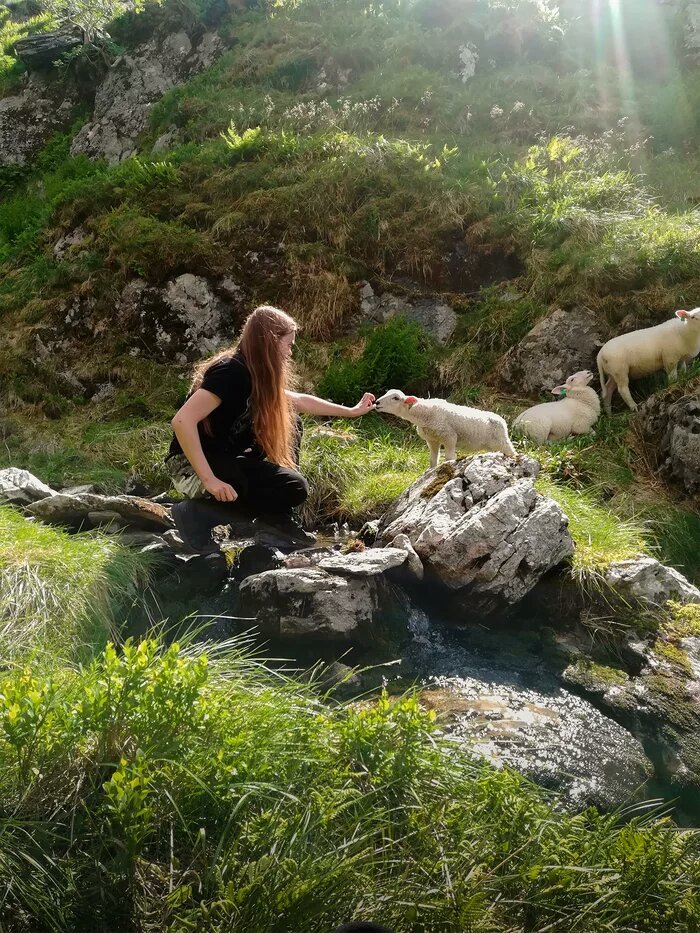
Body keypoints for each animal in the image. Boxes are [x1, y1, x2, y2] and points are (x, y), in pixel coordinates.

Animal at [374, 390, 516, 470]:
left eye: (395, 398)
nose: (376, 403)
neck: (424, 414)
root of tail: (502, 421)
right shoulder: (432, 440)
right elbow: (432, 460)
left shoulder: (450, 436)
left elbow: (448, 457)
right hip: (492, 447)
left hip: (502, 442)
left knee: (512, 452)